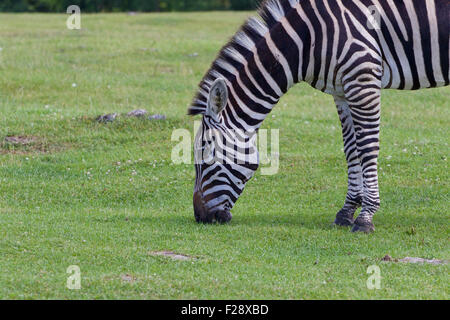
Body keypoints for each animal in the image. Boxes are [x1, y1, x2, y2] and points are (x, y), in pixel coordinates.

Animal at [186, 0, 446, 231]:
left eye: (207, 157)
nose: (200, 217)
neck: (308, 39)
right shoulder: (341, 90)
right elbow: (351, 149)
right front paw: (346, 212)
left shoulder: (362, 80)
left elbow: (367, 148)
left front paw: (366, 218)